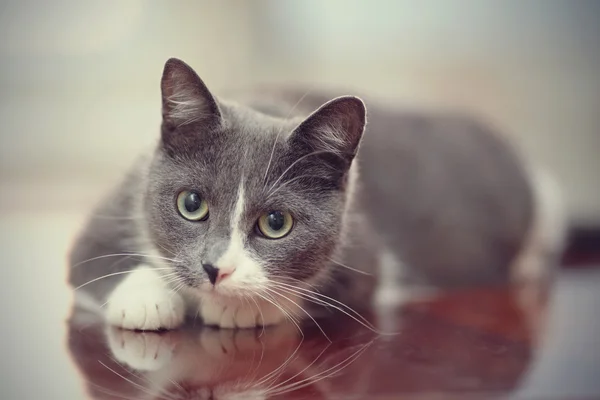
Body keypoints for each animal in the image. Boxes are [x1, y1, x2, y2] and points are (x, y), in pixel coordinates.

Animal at [67, 57, 568, 332]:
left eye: (276, 224)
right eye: (192, 204)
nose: (215, 269)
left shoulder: (363, 246)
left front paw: (242, 307)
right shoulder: (123, 195)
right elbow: (88, 260)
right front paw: (145, 299)